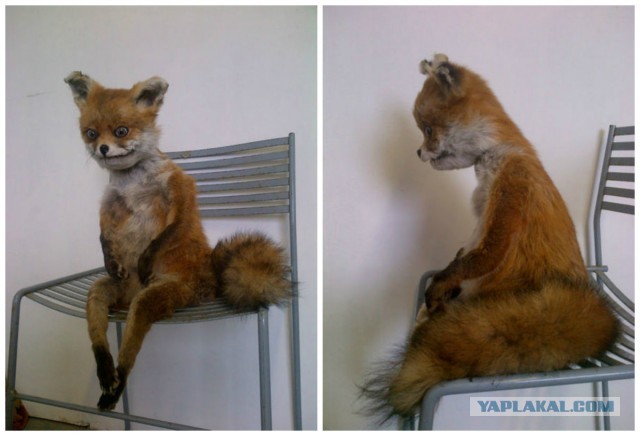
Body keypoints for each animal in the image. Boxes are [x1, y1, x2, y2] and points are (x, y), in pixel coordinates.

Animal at [64, 72, 291, 411]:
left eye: (121, 131)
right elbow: (103, 234)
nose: (103, 148)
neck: (133, 184)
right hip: (101, 293)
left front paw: (146, 257)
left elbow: (167, 233)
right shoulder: (109, 206)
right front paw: (109, 256)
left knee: (130, 349)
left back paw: (118, 380)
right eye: (91, 133)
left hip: (153, 298)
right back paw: (105, 372)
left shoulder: (180, 193)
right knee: (99, 334)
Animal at [360, 54, 619, 423]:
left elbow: (475, 259)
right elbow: (460, 257)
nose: (416, 153)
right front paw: (439, 289)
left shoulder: (507, 201)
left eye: (427, 129)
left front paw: (438, 289)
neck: (494, 158)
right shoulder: (478, 223)